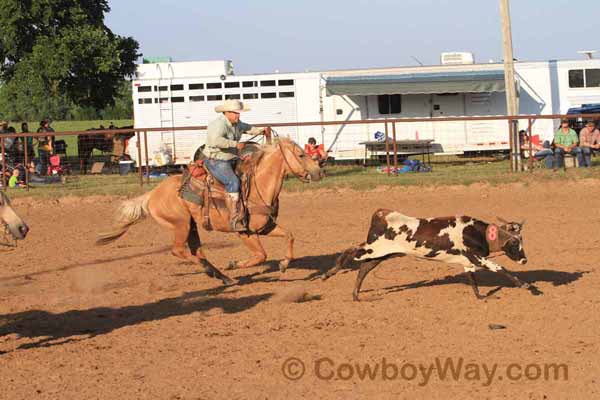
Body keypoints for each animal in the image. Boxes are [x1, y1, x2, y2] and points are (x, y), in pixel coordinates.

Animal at [97, 139, 324, 286]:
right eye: (301, 154)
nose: (319, 171)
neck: (259, 185)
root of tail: (153, 194)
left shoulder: (265, 227)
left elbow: (289, 235)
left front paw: (284, 264)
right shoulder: (245, 232)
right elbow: (261, 255)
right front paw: (234, 264)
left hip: (191, 226)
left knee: (197, 251)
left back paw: (222, 277)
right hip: (180, 224)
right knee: (179, 251)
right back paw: (218, 272)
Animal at [322, 209, 532, 300]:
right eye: (514, 241)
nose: (524, 260)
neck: (475, 232)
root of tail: (382, 214)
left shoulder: (468, 261)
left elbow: (473, 281)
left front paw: (481, 296)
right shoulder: (478, 258)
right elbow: (500, 268)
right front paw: (525, 285)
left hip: (382, 254)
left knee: (363, 269)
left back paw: (356, 295)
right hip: (373, 249)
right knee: (351, 253)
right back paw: (329, 273)